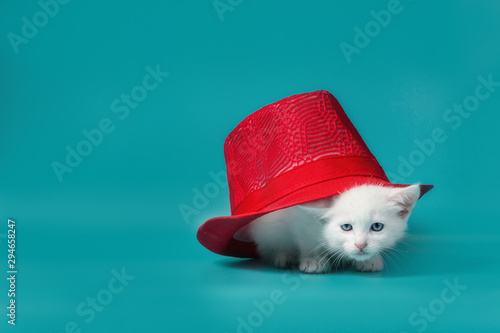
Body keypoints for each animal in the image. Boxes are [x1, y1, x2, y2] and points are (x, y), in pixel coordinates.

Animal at [248, 184, 420, 272]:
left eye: (377, 226)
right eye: (346, 227)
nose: (361, 245)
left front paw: (370, 259)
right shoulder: (301, 220)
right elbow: (306, 240)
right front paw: (313, 260)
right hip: (268, 229)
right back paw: (284, 256)